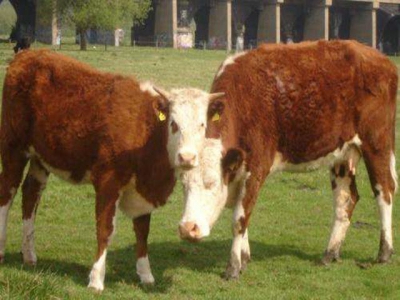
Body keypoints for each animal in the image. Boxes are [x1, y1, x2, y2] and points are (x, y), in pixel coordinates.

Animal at [0, 50, 225, 292]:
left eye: (202, 125)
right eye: (173, 124)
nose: (187, 157)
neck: (146, 132)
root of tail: (27, 54)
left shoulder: (143, 188)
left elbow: (142, 231)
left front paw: (146, 275)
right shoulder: (108, 181)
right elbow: (105, 229)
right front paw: (96, 279)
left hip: (40, 158)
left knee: (31, 194)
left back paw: (29, 255)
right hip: (13, 147)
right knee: (8, 192)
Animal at [180, 39, 398, 278]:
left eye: (211, 183)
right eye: (183, 186)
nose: (187, 229)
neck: (244, 99)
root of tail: (380, 58)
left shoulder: (256, 168)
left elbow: (240, 218)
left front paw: (233, 267)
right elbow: (243, 213)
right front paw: (244, 258)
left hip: (377, 144)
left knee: (384, 191)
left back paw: (384, 251)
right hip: (343, 152)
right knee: (346, 199)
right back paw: (330, 253)